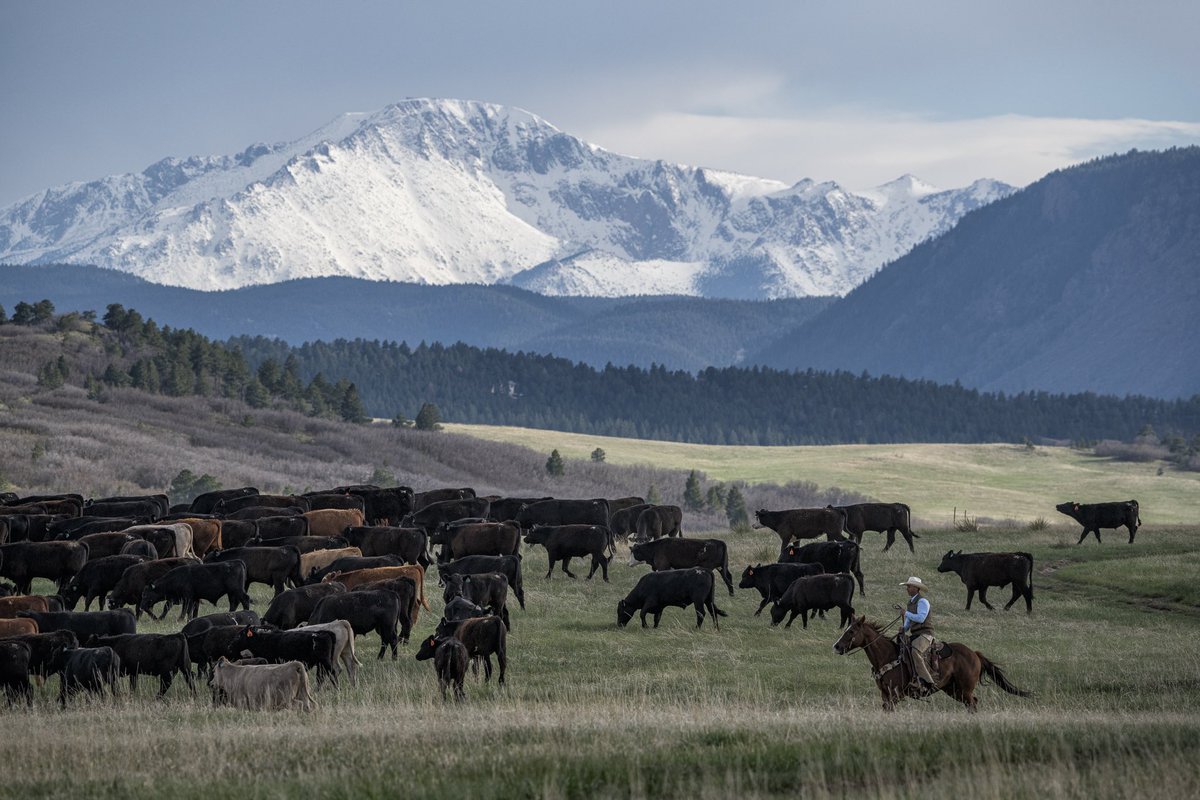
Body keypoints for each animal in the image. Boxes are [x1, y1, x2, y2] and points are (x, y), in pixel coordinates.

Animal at [830, 618, 1027, 710]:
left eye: (852, 631)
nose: (836, 646)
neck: (887, 656)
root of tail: (975, 654)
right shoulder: (885, 694)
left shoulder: (896, 694)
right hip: (953, 690)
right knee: (972, 703)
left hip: (964, 689)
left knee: (972, 703)